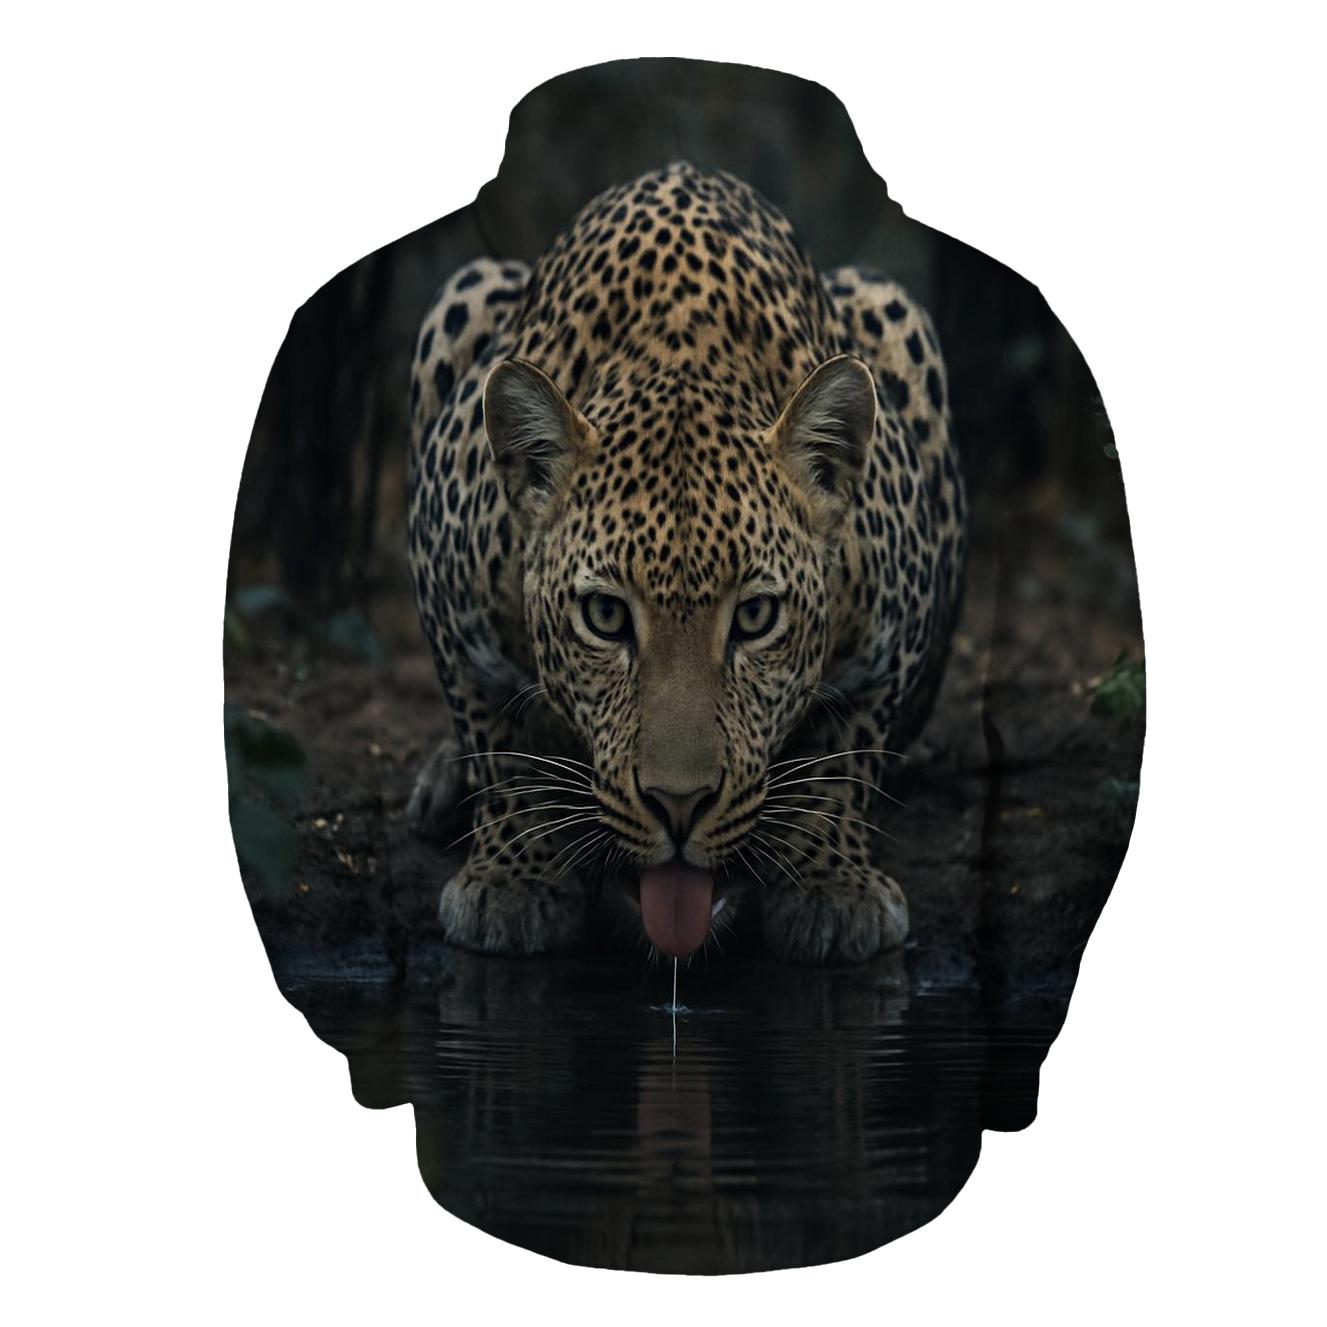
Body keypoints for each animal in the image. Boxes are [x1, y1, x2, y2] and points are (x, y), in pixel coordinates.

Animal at [407, 161, 965, 964]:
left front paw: (832, 887)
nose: (678, 805)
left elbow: (847, 755)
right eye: (605, 616)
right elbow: (495, 741)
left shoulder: (895, 627)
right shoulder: (449, 595)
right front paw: (512, 881)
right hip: (468, 287)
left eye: (756, 616)